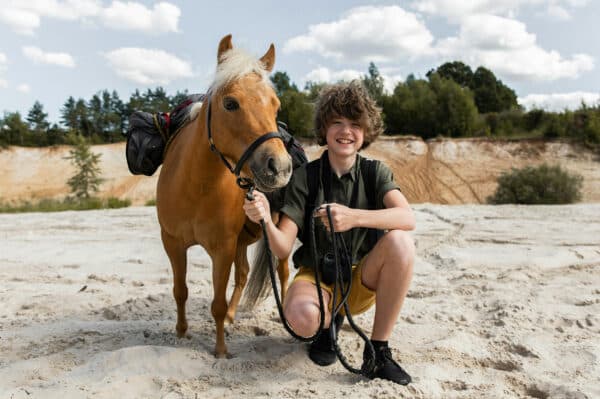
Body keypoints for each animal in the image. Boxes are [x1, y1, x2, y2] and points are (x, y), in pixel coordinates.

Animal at [157, 35, 292, 360]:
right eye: (231, 103)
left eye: (276, 106)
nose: (280, 168)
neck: (196, 186)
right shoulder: (172, 242)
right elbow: (180, 290)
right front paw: (181, 333)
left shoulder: (222, 248)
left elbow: (216, 303)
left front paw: (220, 351)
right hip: (242, 240)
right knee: (243, 274)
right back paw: (232, 315)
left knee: (282, 272)